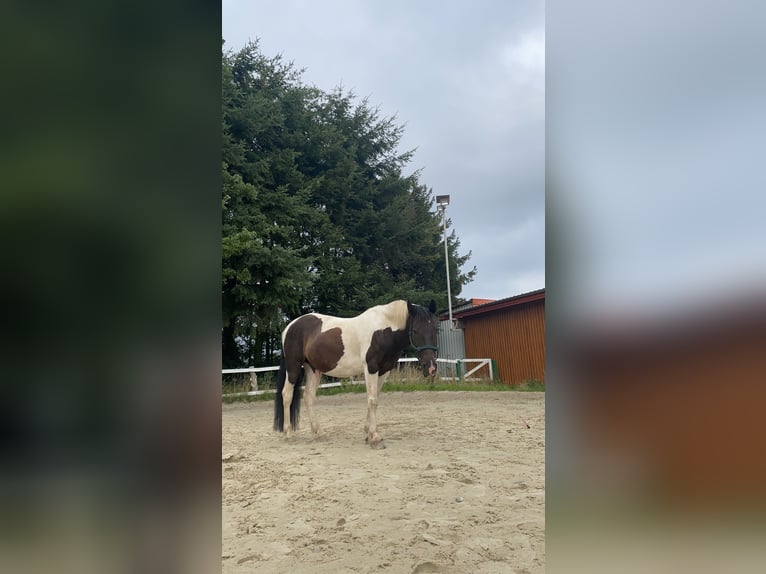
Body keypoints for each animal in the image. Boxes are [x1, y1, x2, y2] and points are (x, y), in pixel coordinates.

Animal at [274, 302, 438, 450]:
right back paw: (289, 433)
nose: (431, 368)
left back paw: (319, 432)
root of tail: (290, 326)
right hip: (293, 367)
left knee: (308, 397)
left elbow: (375, 398)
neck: (384, 331)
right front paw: (375, 438)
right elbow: (372, 400)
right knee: (287, 394)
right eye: (415, 331)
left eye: (435, 330)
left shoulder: (384, 371)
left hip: (313, 370)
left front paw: (368, 435)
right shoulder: (371, 368)